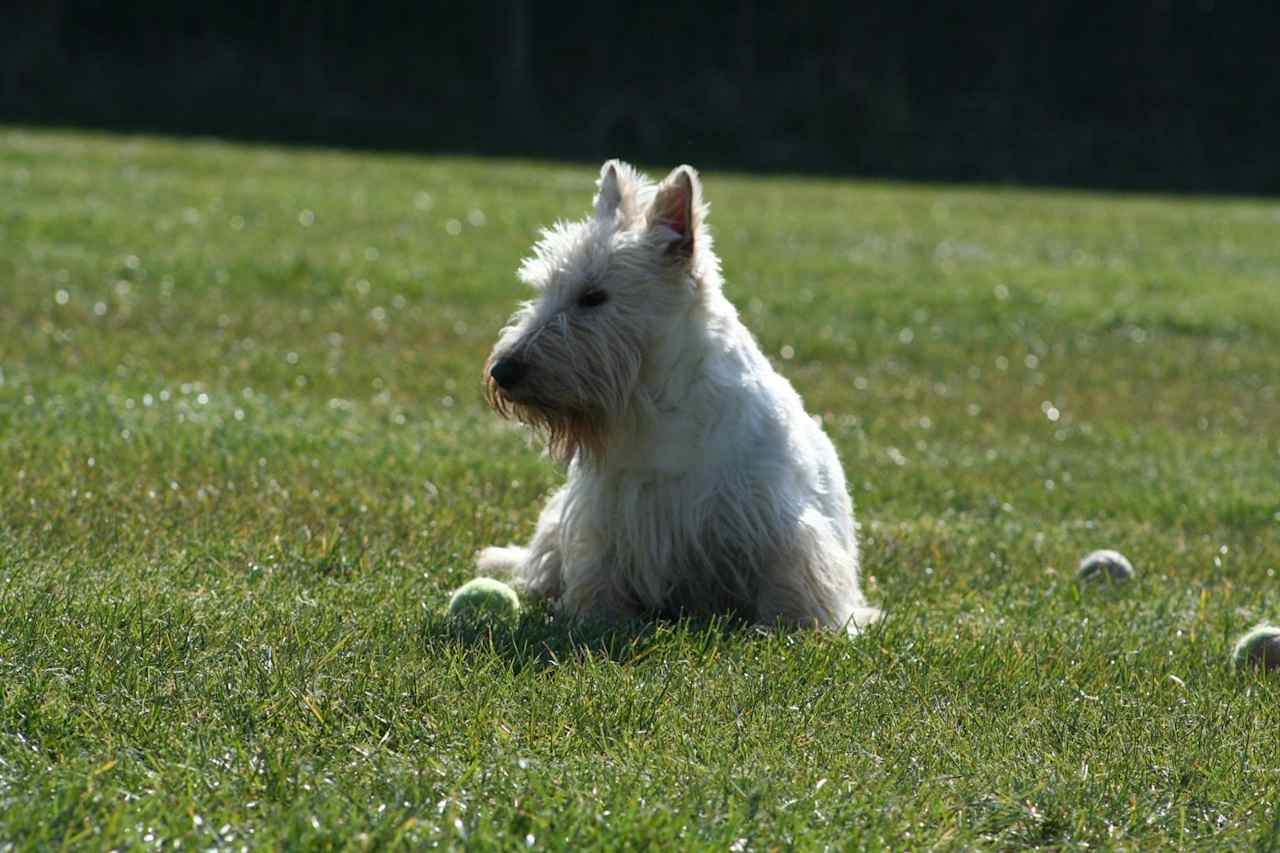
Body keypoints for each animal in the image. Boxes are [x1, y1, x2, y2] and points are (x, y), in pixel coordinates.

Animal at [478, 161, 880, 630]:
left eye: (594, 296)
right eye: (545, 289)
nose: (503, 371)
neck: (656, 403)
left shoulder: (780, 526)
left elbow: (791, 581)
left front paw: (794, 625)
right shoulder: (603, 517)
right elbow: (600, 574)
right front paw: (599, 617)